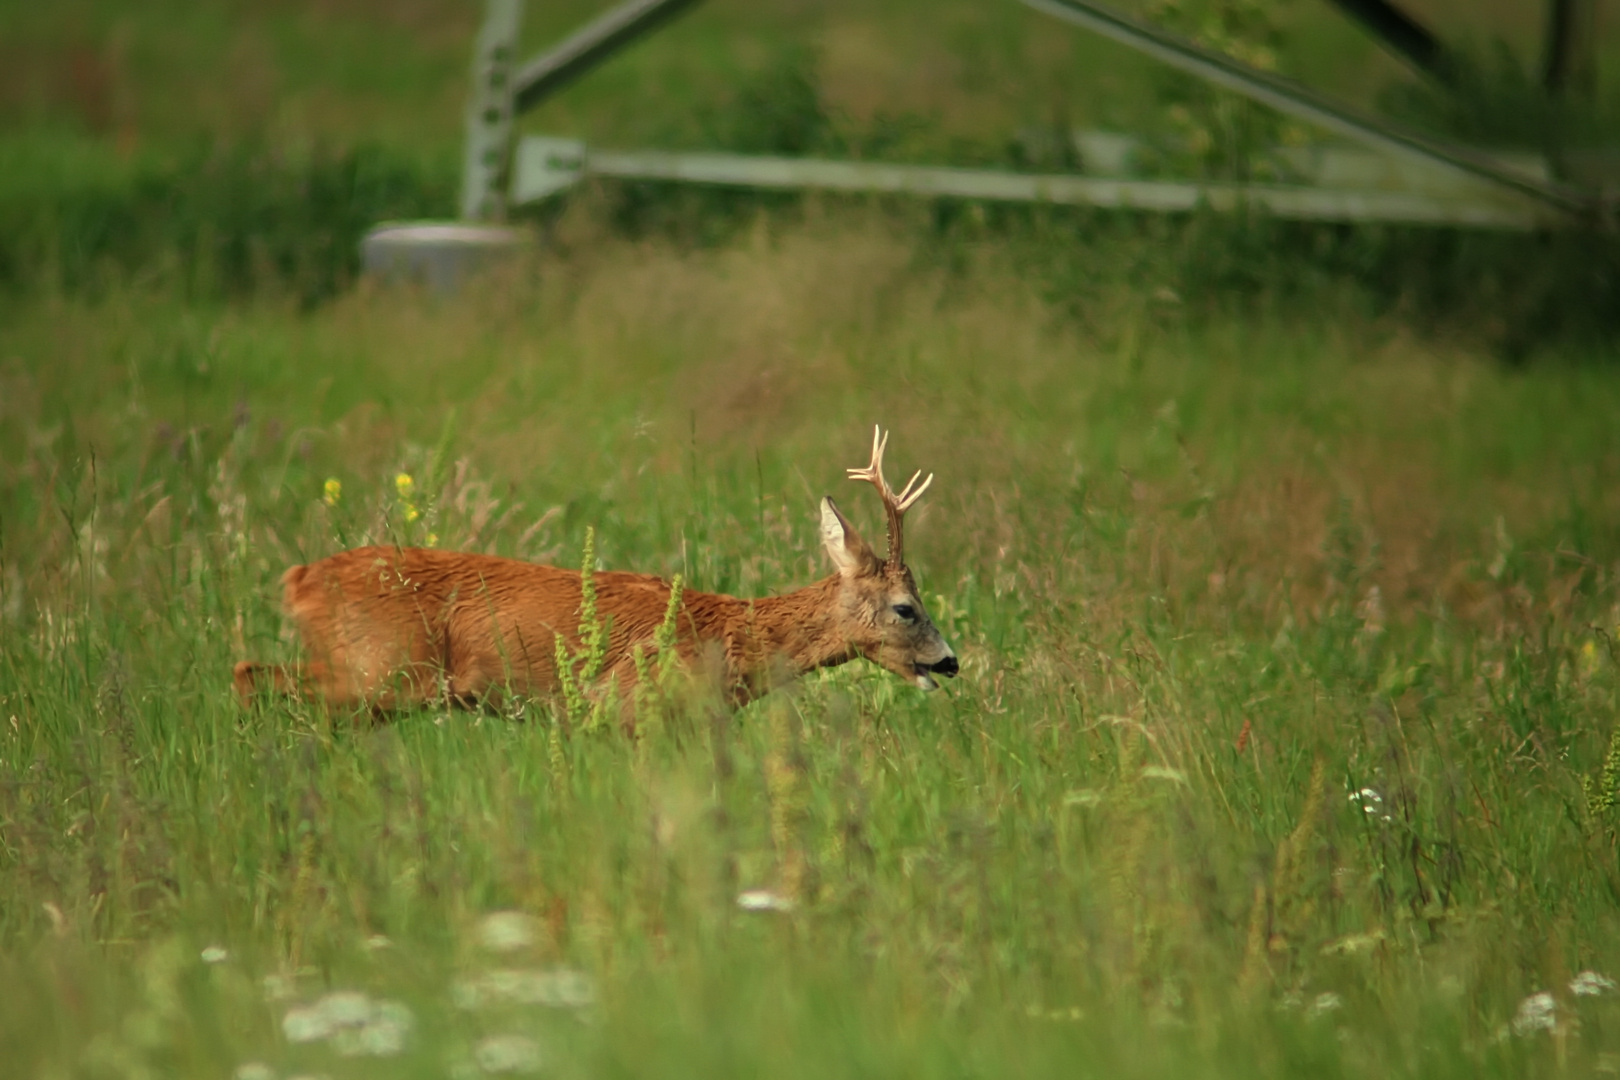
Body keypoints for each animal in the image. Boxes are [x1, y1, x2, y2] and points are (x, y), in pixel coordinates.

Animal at [234, 427, 952, 712]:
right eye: (906, 608)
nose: (950, 661)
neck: (729, 639)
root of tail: (298, 578)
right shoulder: (629, 707)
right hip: (378, 669)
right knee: (256, 677)